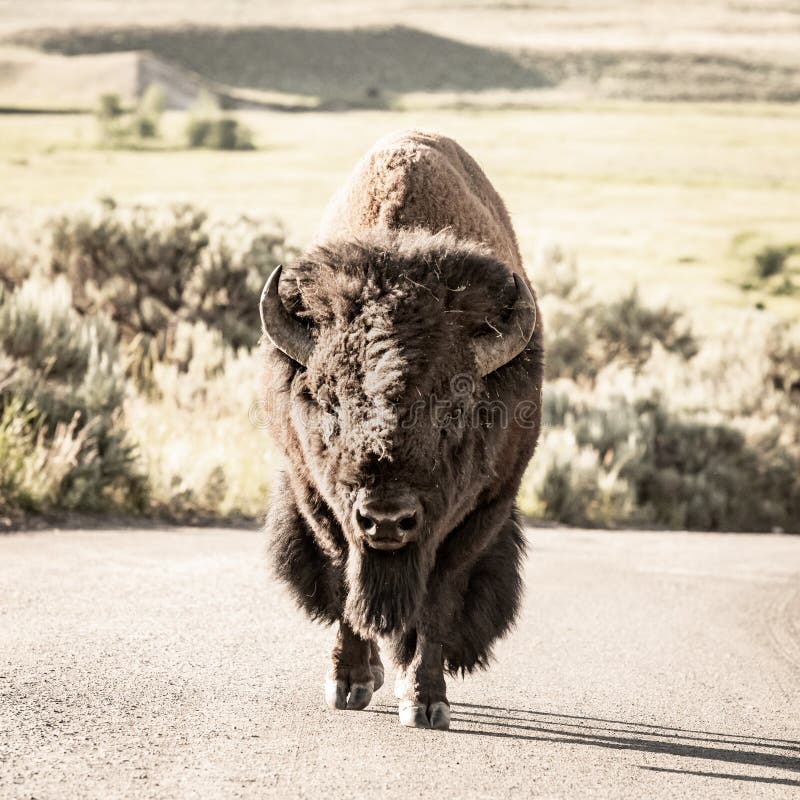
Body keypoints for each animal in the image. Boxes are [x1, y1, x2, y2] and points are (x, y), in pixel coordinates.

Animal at [262, 131, 544, 732]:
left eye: (454, 406)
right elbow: (345, 580)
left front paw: (425, 700)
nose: (387, 518)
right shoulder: (318, 498)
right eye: (330, 403)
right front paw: (347, 683)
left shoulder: (484, 510)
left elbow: (438, 598)